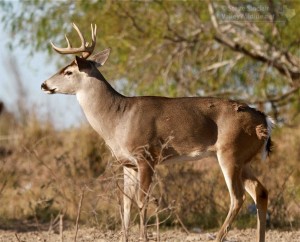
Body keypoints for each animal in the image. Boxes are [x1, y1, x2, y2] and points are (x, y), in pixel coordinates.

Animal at [41, 23, 274, 242]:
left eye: (68, 71)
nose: (44, 84)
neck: (118, 118)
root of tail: (264, 120)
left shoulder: (146, 156)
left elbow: (142, 201)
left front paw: (144, 237)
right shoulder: (128, 163)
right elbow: (126, 204)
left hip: (230, 152)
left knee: (238, 197)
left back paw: (218, 237)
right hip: (243, 158)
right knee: (260, 191)